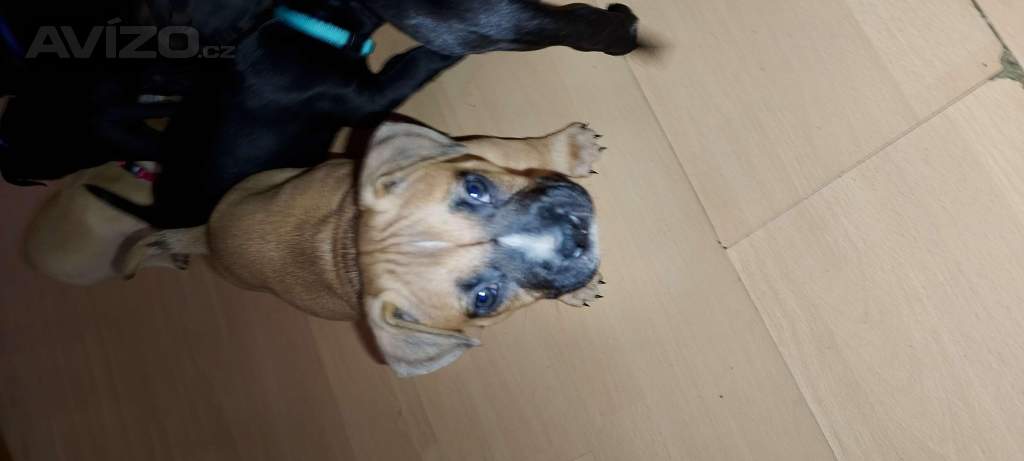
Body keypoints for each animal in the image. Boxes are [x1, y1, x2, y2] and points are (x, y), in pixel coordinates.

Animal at [105, 121, 606, 376]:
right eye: (485, 298)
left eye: (476, 188)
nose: (575, 230)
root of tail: (205, 234)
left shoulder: (475, 149)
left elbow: (519, 149)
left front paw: (567, 148)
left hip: (281, 174)